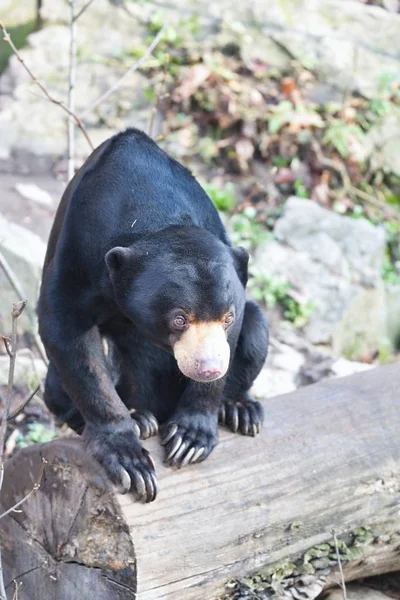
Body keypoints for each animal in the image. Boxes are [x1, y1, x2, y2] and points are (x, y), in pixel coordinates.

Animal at [37, 130, 268, 502]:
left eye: (227, 317)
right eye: (179, 319)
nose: (208, 369)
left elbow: (238, 333)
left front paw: (190, 438)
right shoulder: (77, 249)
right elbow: (67, 332)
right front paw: (128, 459)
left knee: (258, 329)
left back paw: (239, 409)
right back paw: (140, 417)